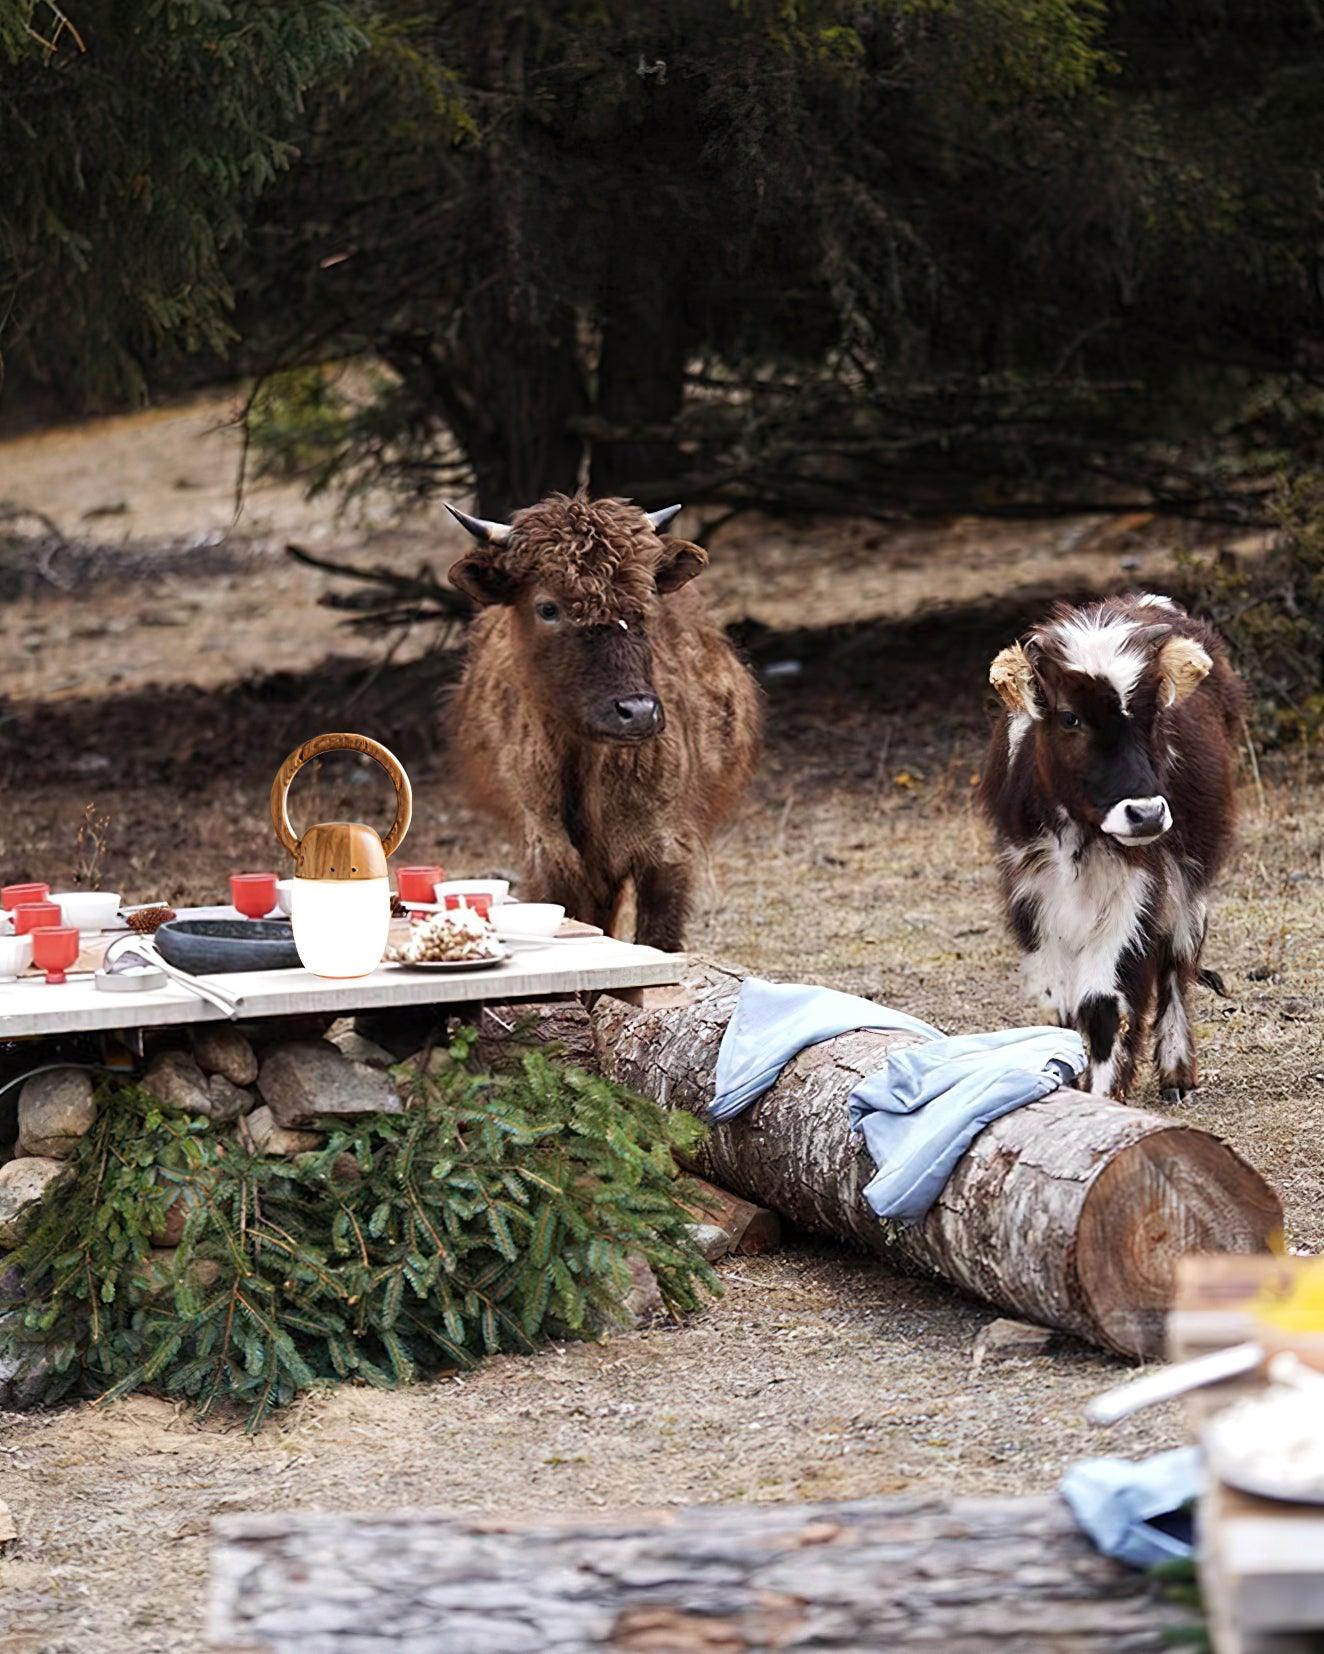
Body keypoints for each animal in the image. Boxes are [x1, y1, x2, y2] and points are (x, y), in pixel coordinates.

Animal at [443, 489, 761, 952]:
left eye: (647, 598)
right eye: (547, 607)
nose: (638, 712)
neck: (585, 758)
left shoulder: (664, 846)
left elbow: (658, 936)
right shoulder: (549, 848)